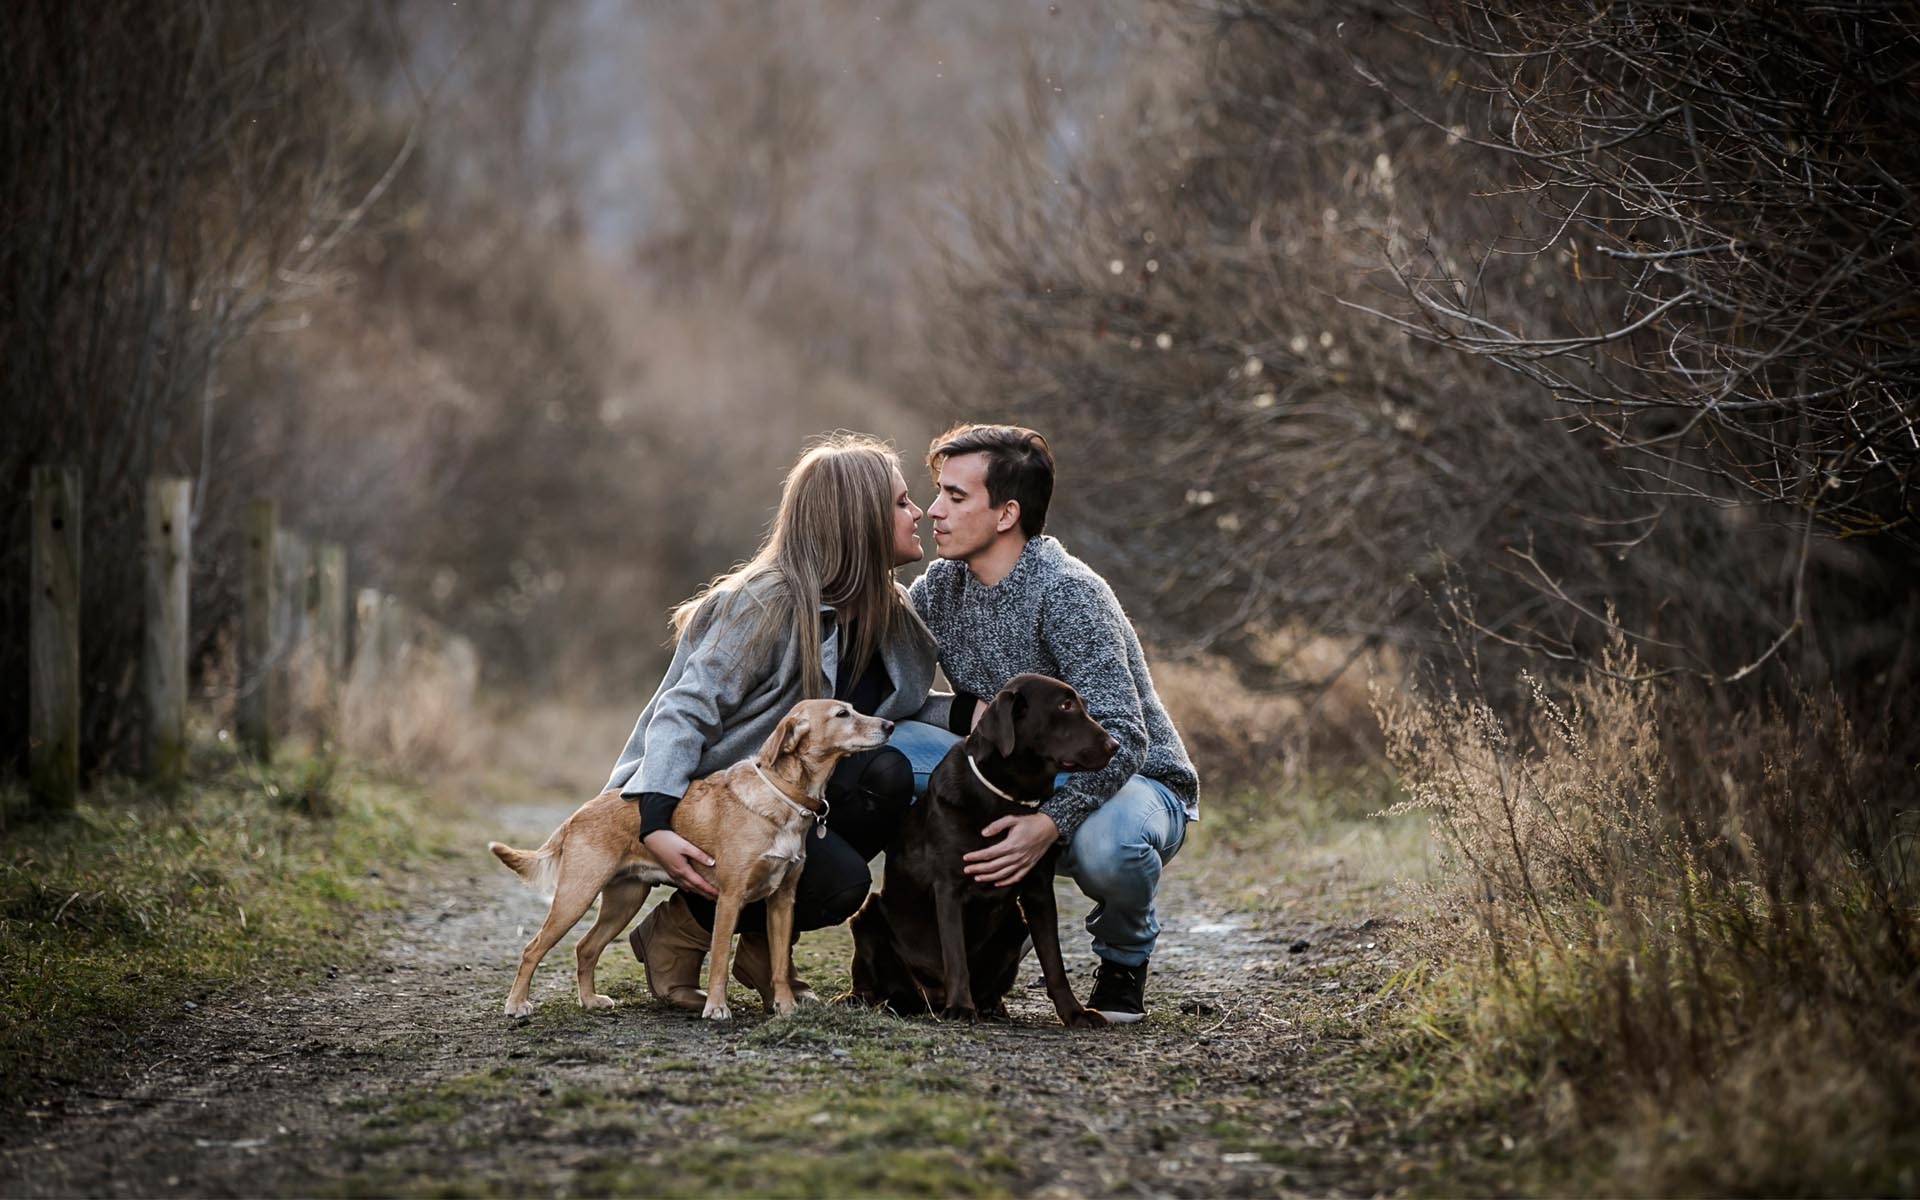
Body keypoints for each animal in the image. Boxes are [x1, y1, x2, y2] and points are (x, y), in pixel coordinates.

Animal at [487, 702, 890, 1021]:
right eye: (842, 714)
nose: (889, 725)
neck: (784, 796)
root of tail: (580, 812)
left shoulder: (782, 901)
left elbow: (777, 964)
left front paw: (786, 1007)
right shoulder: (730, 899)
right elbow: (719, 961)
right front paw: (716, 1007)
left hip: (623, 902)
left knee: (585, 947)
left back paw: (589, 1000)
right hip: (576, 895)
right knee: (532, 948)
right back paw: (516, 1004)